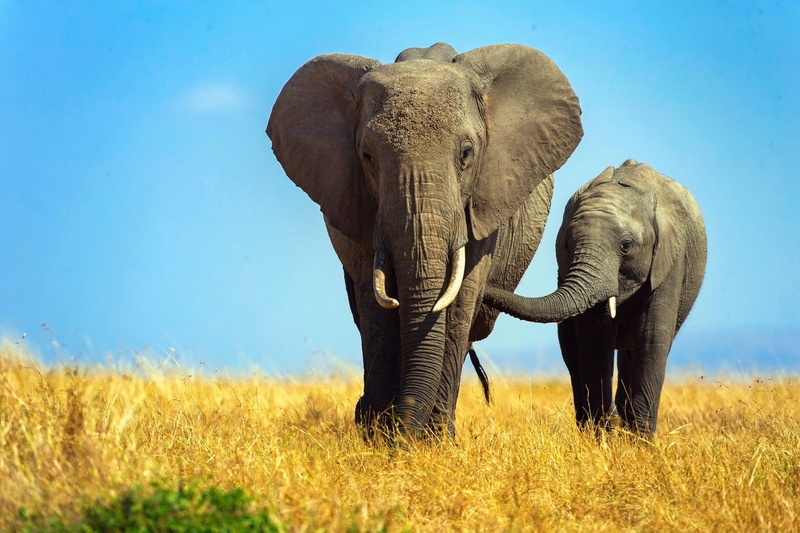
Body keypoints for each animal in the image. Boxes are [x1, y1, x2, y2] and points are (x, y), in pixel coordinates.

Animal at [267, 43, 583, 438]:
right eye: (367, 157)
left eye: (466, 153)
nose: (403, 430)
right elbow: (376, 303)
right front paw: (381, 437)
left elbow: (459, 301)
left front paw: (430, 441)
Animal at [483, 160, 707, 439]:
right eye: (566, 244)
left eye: (626, 246)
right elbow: (595, 338)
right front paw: (602, 437)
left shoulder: (670, 260)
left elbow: (650, 339)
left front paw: (639, 442)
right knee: (573, 354)